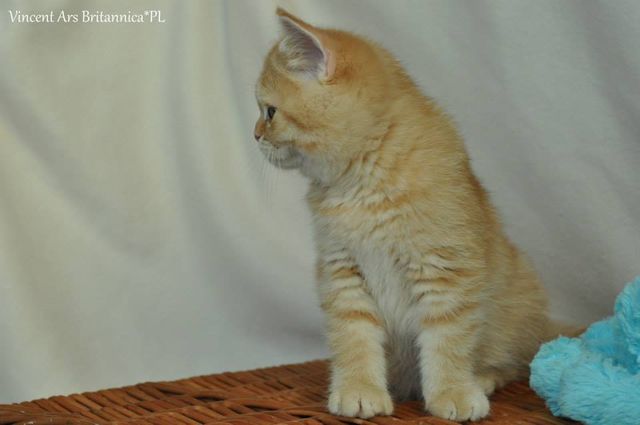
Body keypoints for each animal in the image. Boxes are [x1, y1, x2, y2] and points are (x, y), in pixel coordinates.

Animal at [254, 8, 576, 422]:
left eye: (270, 112)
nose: (255, 135)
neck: (363, 181)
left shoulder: (445, 271)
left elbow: (447, 338)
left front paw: (453, 391)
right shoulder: (341, 272)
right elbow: (353, 337)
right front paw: (360, 389)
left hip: (520, 296)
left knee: (513, 361)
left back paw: (482, 379)